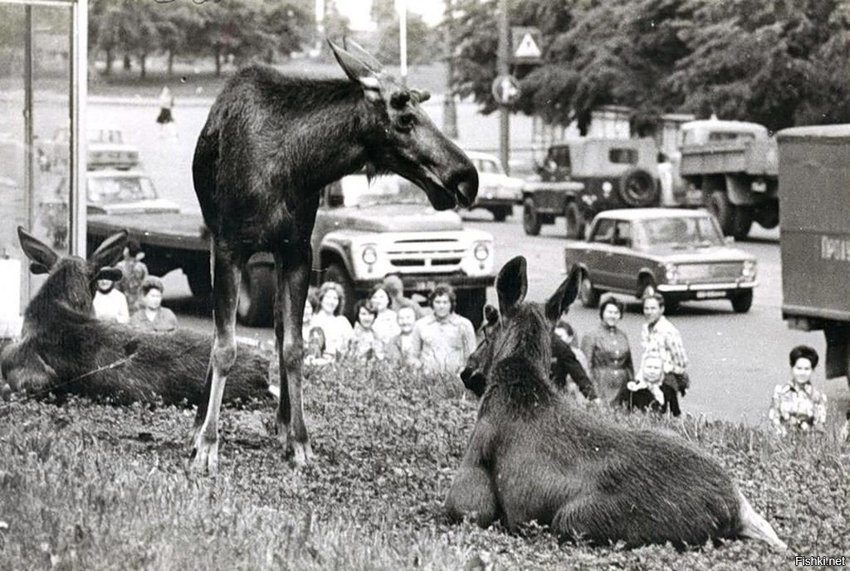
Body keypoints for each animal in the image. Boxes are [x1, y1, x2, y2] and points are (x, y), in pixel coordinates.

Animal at [190, 39, 476, 470]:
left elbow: (294, 347)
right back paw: (198, 426)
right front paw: (207, 444)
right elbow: (225, 347)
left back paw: (282, 423)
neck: (296, 166)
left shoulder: (297, 252)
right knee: (220, 332)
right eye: (404, 114)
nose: (467, 177)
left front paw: (300, 441)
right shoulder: (229, 247)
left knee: (278, 329)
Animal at [448, 256, 784, 552]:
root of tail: (737, 508)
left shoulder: (469, 498)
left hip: (573, 519)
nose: (468, 371)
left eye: (486, 325)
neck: (517, 379)